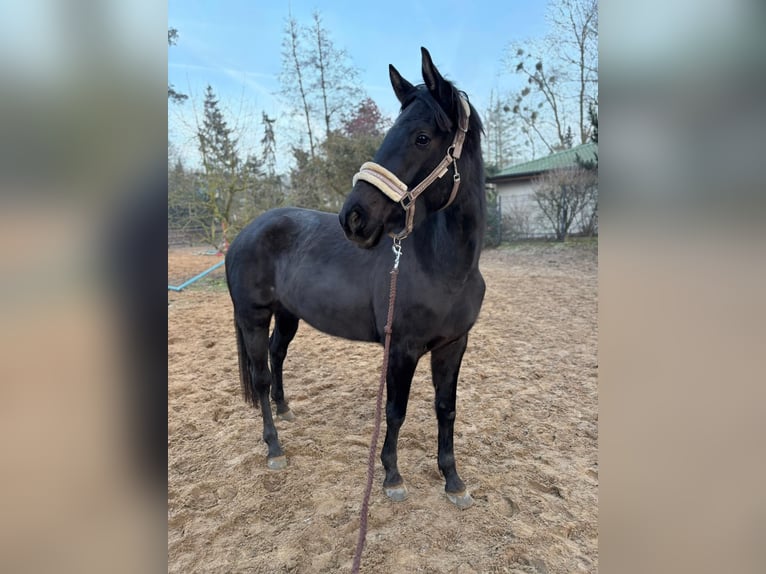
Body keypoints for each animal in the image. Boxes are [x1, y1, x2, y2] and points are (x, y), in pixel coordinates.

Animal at [226, 47, 486, 510]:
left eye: (422, 137)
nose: (354, 217)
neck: (445, 267)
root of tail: (245, 233)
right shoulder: (402, 349)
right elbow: (396, 411)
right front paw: (392, 478)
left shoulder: (454, 345)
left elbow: (446, 408)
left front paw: (453, 481)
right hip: (253, 317)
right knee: (259, 376)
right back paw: (274, 448)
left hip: (287, 316)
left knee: (277, 356)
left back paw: (285, 409)